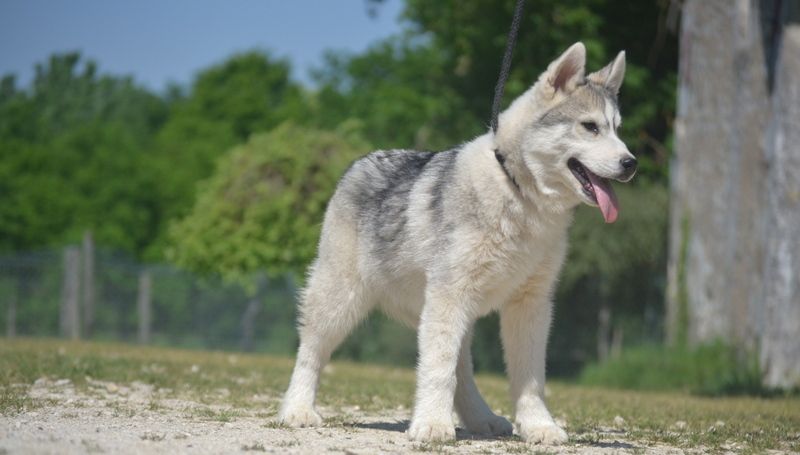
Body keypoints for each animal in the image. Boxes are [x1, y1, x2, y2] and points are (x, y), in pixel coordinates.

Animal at [278, 43, 636, 446]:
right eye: (590, 127)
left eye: (618, 129)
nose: (631, 163)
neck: (517, 192)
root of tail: (361, 161)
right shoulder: (450, 293)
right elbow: (437, 368)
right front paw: (433, 424)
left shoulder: (531, 304)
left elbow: (530, 377)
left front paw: (539, 426)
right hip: (341, 298)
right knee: (311, 351)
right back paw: (298, 409)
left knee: (461, 368)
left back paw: (481, 418)